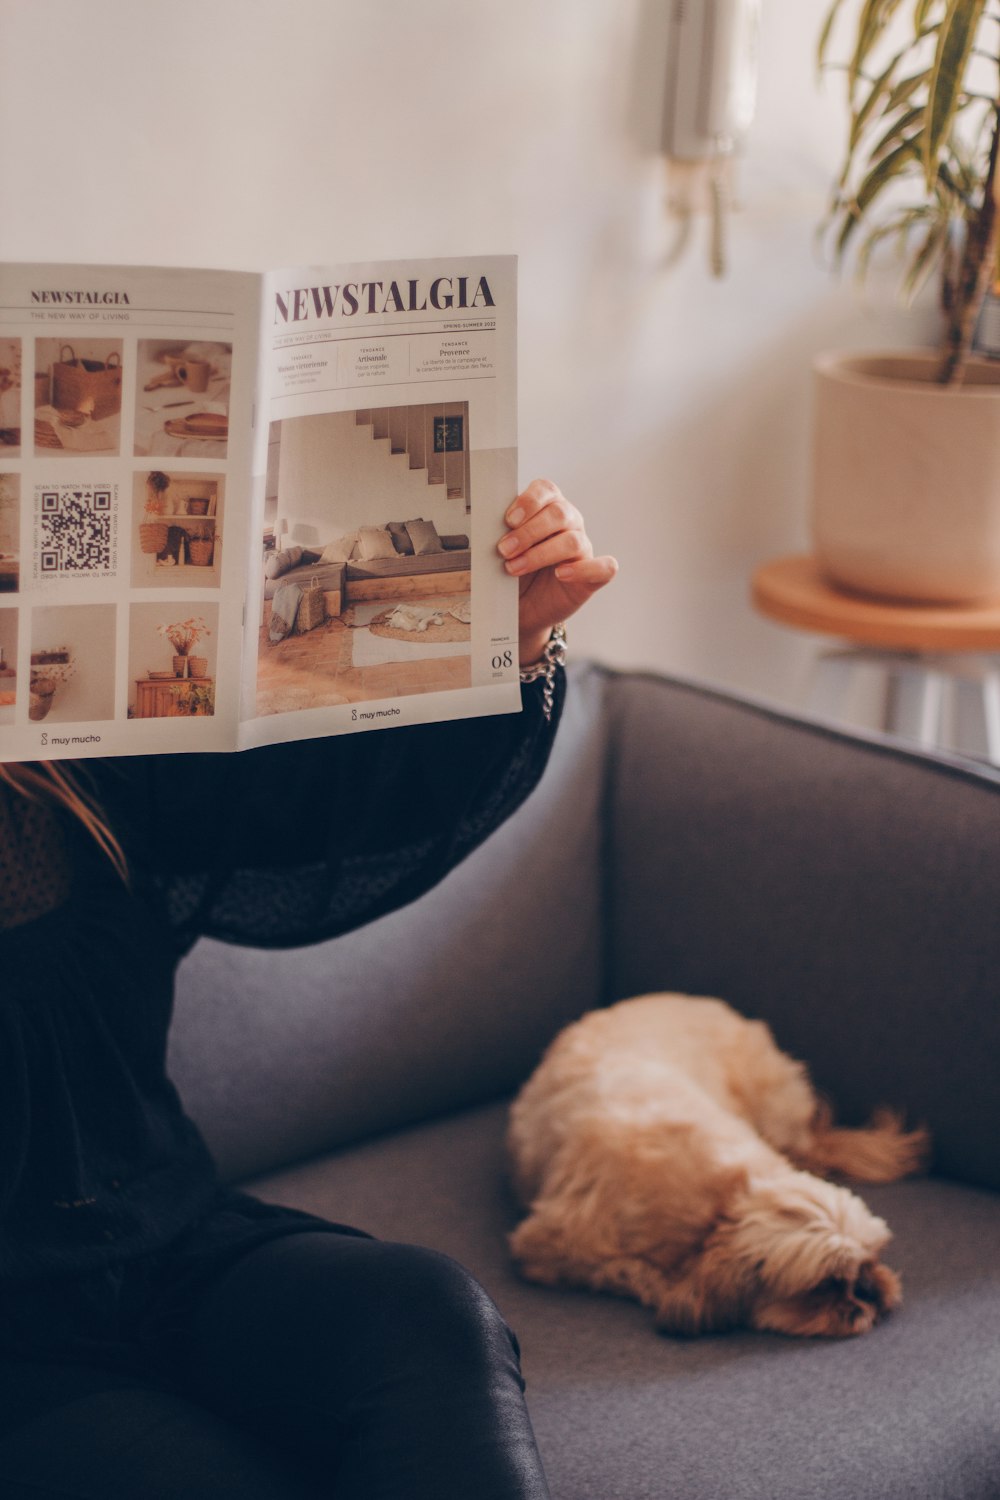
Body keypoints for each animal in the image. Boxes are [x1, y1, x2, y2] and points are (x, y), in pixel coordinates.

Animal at [509, 996, 929, 1338]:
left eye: (874, 1258)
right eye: (826, 1286)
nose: (871, 1289)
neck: (725, 1200)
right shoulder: (545, 1249)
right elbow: (623, 1270)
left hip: (775, 1106)